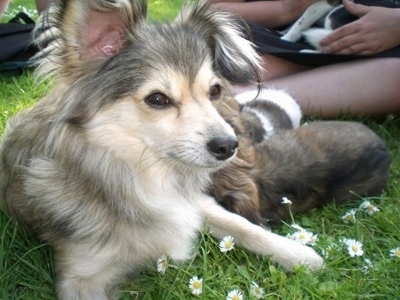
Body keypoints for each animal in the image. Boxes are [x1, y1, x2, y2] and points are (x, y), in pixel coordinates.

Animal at [0, 1, 324, 298]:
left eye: (215, 91)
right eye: (157, 99)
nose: (229, 146)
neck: (146, 176)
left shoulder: (196, 203)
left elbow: (241, 224)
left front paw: (298, 254)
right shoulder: (80, 278)